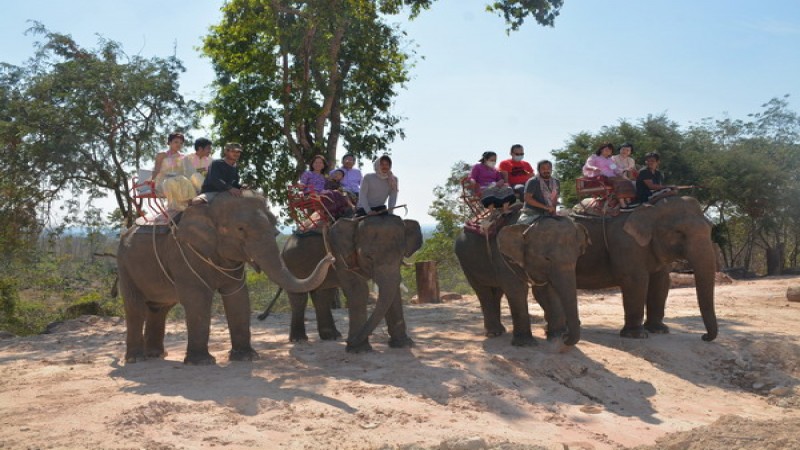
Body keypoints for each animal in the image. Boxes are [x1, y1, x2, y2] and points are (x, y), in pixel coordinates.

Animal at [115, 193, 334, 366]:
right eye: (240, 229)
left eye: (275, 229)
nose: (330, 257)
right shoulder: (184, 252)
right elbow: (197, 299)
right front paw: (202, 362)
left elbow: (238, 296)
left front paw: (247, 358)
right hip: (125, 264)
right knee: (135, 306)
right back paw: (137, 359)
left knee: (159, 308)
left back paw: (156, 355)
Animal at [282, 213, 424, 354]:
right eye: (368, 257)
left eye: (401, 255)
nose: (348, 341)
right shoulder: (338, 253)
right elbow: (359, 290)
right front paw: (359, 350)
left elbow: (393, 289)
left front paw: (403, 344)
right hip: (291, 263)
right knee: (299, 297)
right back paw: (299, 339)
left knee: (323, 294)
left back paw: (332, 336)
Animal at [456, 213, 588, 346]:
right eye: (547, 259)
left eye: (577, 256)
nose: (565, 337)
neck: (528, 225)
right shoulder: (502, 256)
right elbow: (517, 289)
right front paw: (525, 344)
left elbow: (546, 291)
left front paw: (556, 336)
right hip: (465, 263)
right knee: (483, 292)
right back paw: (494, 333)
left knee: (497, 292)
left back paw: (500, 331)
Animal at [576, 194, 720, 342]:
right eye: (679, 232)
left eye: (711, 228)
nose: (704, 336)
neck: (651, 208)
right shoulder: (627, 242)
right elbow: (636, 281)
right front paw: (637, 335)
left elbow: (661, 281)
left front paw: (659, 330)